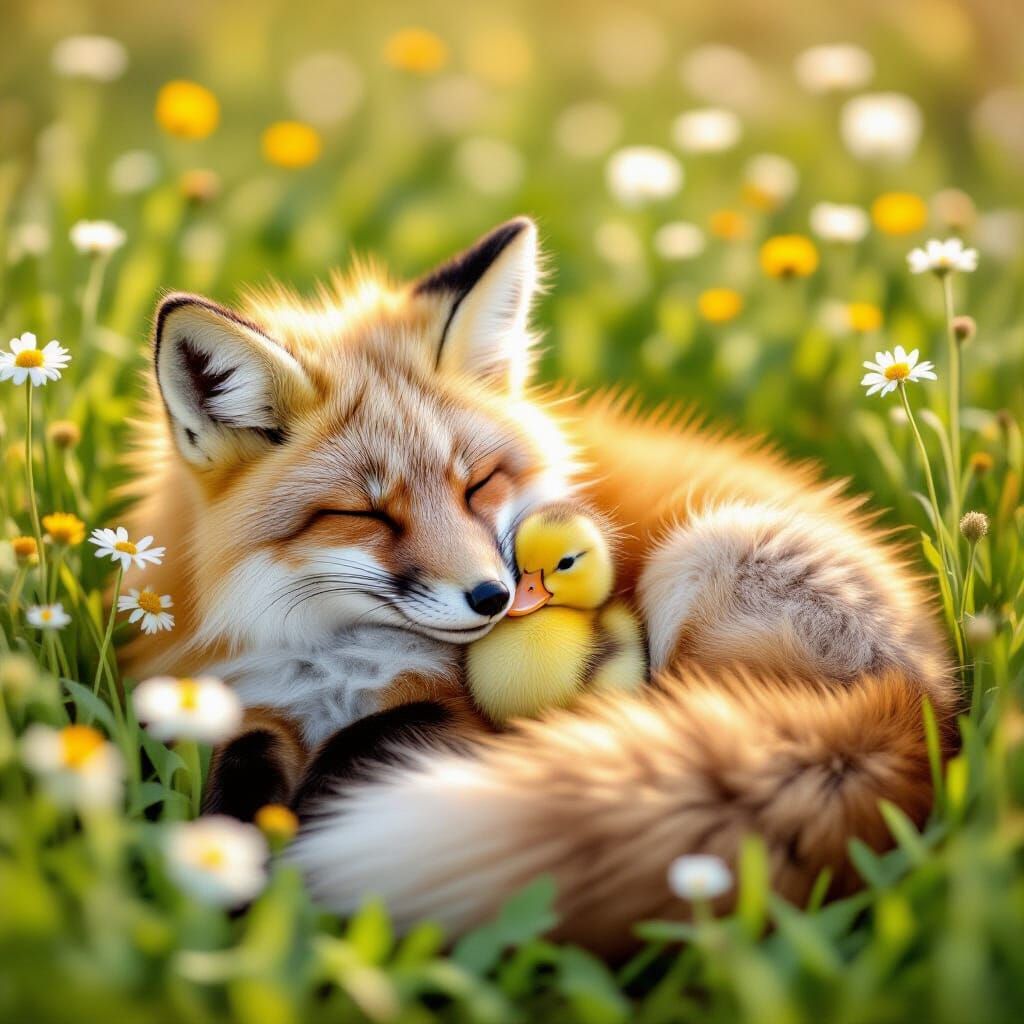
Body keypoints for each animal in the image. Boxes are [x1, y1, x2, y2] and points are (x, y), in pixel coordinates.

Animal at [124, 217, 958, 956]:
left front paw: (301, 863)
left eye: (478, 485)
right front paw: (230, 875)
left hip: (702, 557)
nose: (494, 600)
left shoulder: (456, 707)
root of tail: (927, 697)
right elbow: (236, 785)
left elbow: (363, 748)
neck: (337, 659)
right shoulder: (245, 696)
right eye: (365, 513)